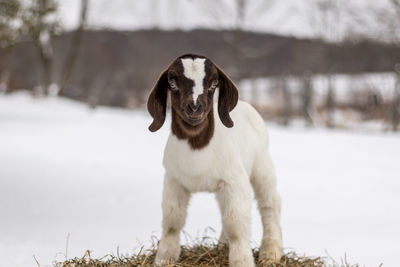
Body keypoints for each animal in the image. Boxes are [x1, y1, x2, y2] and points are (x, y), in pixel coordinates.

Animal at [147, 54, 282, 267]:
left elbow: (236, 222)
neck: (197, 146)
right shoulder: (174, 180)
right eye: (172, 82)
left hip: (262, 165)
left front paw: (242, 261)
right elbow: (172, 218)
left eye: (213, 84)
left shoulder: (235, 181)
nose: (195, 107)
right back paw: (223, 246)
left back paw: (271, 252)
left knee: (270, 203)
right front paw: (164, 258)